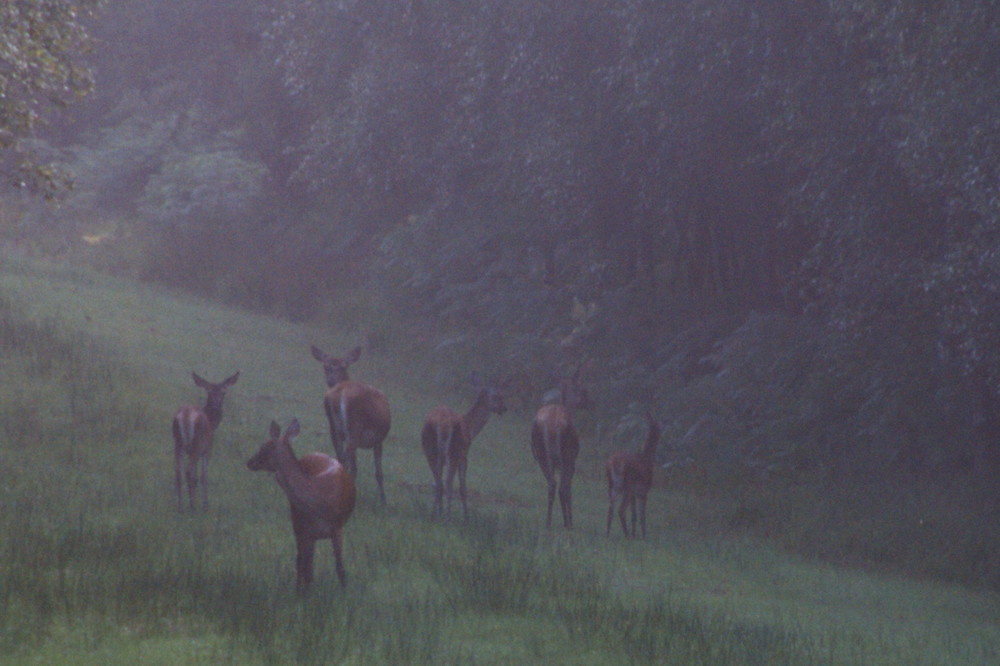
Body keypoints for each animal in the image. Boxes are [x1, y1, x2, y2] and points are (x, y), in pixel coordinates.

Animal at [172, 370, 240, 510]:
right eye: (209, 392)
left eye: (223, 392)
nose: (216, 406)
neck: (212, 423)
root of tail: (186, 416)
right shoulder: (208, 448)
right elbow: (203, 476)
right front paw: (205, 505)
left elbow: (196, 477)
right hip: (197, 444)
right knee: (188, 471)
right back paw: (192, 507)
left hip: (178, 443)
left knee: (178, 472)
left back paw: (181, 507)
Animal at [248, 418, 358, 588]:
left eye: (264, 446)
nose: (249, 462)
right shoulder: (303, 529)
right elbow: (303, 567)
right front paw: (301, 592)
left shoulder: (337, 527)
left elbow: (340, 568)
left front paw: (344, 589)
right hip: (298, 522)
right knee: (303, 563)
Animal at [310, 344, 392, 500]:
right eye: (326, 366)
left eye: (342, 367)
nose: (330, 380)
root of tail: (340, 391)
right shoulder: (378, 439)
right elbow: (379, 472)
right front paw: (383, 499)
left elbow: (355, 467)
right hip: (355, 428)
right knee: (345, 461)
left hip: (335, 429)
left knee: (340, 459)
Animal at [420, 370, 508, 516]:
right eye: (498, 395)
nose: (504, 408)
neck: (470, 428)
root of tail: (439, 424)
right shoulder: (464, 455)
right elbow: (462, 488)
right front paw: (466, 516)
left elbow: (439, 483)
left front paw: (439, 511)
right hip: (453, 451)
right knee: (448, 483)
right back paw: (448, 516)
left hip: (429, 450)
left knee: (438, 483)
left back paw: (434, 515)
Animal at [532, 360, 592, 528]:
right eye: (583, 389)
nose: (591, 402)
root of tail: (551, 425)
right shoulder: (572, 459)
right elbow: (568, 488)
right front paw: (569, 521)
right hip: (566, 454)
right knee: (561, 487)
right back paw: (564, 523)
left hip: (541, 454)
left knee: (552, 484)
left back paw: (548, 522)